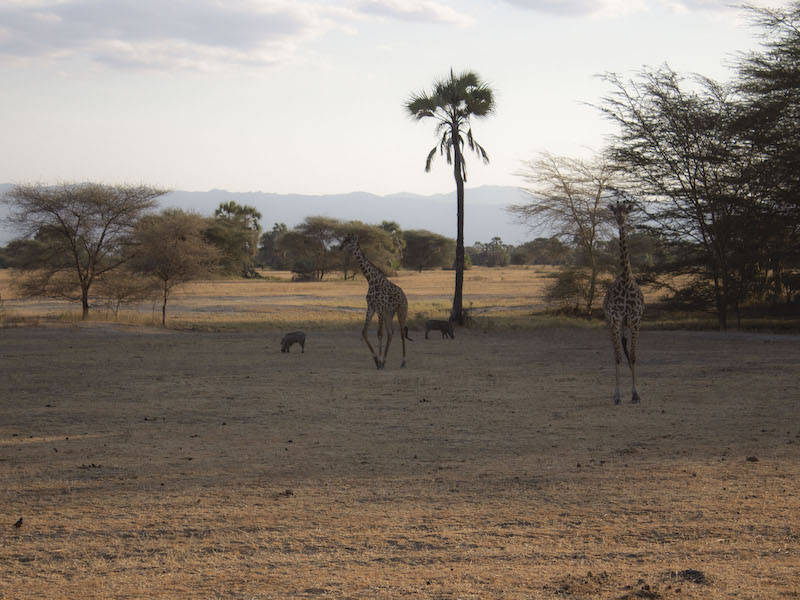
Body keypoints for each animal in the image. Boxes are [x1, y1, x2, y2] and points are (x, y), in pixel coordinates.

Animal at [340, 233, 411, 369]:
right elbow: (364, 333)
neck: (371, 281)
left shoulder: (380, 308)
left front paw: (379, 361)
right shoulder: (371, 308)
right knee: (391, 333)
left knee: (401, 333)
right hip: (390, 313)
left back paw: (403, 362)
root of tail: (404, 295)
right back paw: (385, 360)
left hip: (401, 310)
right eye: (344, 239)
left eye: (350, 241)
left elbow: (379, 334)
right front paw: (377, 361)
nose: (340, 248)